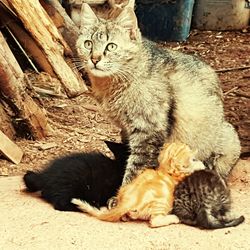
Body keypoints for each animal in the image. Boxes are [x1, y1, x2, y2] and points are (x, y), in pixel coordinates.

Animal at [71, 143, 206, 227]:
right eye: (191, 158)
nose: (190, 147)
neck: (165, 171)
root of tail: (128, 201)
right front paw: (200, 165)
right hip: (162, 204)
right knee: (155, 221)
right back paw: (174, 218)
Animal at [75, 2, 240, 185]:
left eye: (111, 46)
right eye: (88, 44)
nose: (94, 59)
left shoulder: (149, 131)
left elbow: (136, 170)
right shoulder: (127, 130)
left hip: (225, 138)